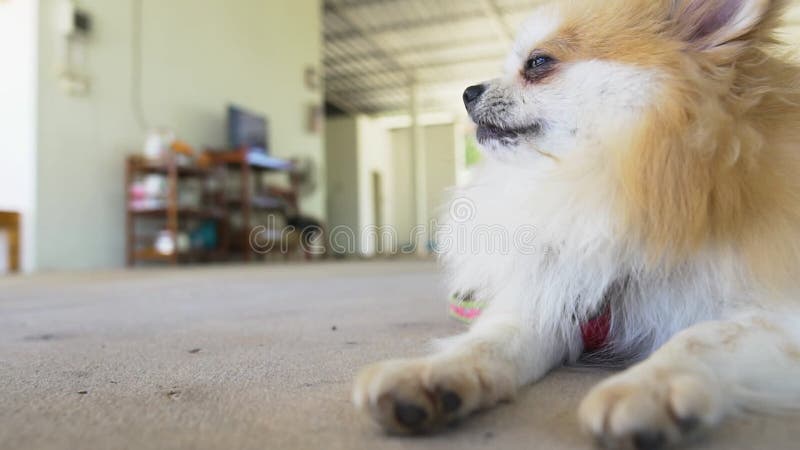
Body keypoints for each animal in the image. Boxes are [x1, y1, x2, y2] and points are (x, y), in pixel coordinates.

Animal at [354, 0, 800, 446]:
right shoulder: (557, 298)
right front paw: (431, 373)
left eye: (538, 62)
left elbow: (699, 337)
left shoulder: (779, 317)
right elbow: (490, 339)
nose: (468, 91)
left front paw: (647, 388)